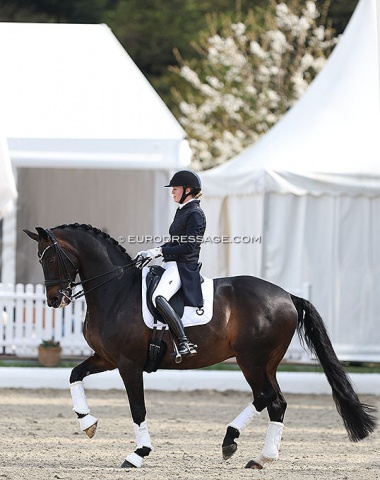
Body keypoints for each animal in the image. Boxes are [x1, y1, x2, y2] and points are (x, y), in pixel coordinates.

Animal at [24, 224, 378, 468]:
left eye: (50, 257)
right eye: (40, 259)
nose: (54, 299)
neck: (116, 291)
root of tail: (287, 295)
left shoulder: (128, 364)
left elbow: (137, 408)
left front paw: (138, 453)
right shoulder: (106, 358)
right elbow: (74, 375)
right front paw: (88, 423)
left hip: (251, 360)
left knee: (265, 397)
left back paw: (230, 440)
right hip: (267, 363)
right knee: (277, 402)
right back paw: (261, 458)